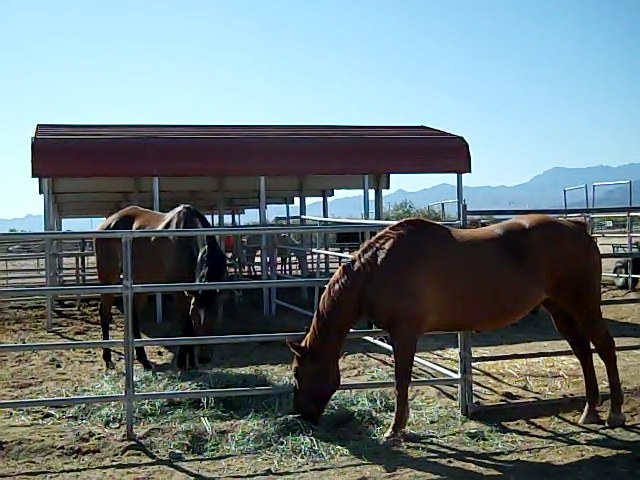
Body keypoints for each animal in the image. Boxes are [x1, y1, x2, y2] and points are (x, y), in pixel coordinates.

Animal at [94, 204, 229, 371]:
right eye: (196, 318)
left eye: (216, 316)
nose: (204, 359)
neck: (187, 238)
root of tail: (106, 224)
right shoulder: (180, 292)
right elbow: (186, 325)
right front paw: (182, 362)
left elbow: (188, 328)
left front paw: (190, 363)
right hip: (109, 278)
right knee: (105, 314)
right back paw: (108, 359)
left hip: (139, 283)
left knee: (133, 317)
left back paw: (143, 360)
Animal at [286, 215, 626, 444]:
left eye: (298, 372)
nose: (303, 417)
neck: (378, 267)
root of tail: (578, 227)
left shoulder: (404, 334)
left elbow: (401, 381)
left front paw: (395, 430)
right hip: (560, 310)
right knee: (583, 351)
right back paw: (590, 411)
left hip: (584, 307)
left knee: (605, 348)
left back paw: (615, 413)